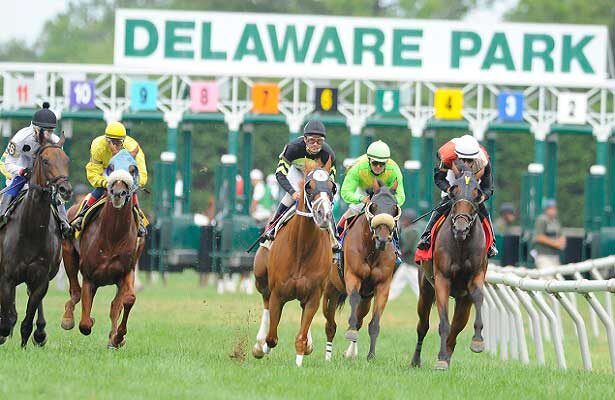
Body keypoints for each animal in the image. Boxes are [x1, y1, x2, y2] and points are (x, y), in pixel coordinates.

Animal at [0, 135, 72, 346]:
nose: (65, 189)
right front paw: (4, 333)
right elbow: (6, 320)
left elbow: (27, 320)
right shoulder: (7, 277)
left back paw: (40, 332)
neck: (31, 229)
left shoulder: (41, 279)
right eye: (45, 161)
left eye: (66, 161)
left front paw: (28, 341)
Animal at [62, 149, 145, 346]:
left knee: (114, 305)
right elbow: (85, 323)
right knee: (75, 291)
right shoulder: (90, 277)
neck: (113, 236)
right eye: (111, 167)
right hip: (68, 255)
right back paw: (67, 318)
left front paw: (118, 337)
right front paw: (90, 320)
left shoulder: (126, 272)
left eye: (133, 169)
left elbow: (126, 300)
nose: (118, 193)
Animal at [251, 159, 334, 366]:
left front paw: (299, 363)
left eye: (332, 187)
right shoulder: (278, 294)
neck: (301, 249)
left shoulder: (314, 295)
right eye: (309, 187)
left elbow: (301, 337)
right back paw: (258, 345)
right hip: (260, 279)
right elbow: (272, 337)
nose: (324, 214)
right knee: (265, 303)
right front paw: (262, 347)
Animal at [322, 180, 404, 360]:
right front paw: (350, 332)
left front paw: (371, 356)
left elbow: (374, 322)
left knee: (360, 318)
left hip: (366, 298)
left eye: (394, 207)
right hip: (330, 290)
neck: (372, 251)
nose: (382, 239)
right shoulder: (353, 276)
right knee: (330, 324)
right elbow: (353, 299)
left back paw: (350, 353)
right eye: (374, 206)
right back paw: (327, 356)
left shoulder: (382, 286)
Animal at [412, 170, 488, 372]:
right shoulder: (442, 280)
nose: (461, 228)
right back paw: (416, 360)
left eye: (477, 194)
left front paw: (477, 341)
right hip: (425, 290)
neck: (461, 244)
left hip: (463, 301)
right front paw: (440, 359)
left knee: (456, 327)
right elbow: (443, 323)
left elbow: (478, 298)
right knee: (423, 326)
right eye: (454, 192)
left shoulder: (474, 279)